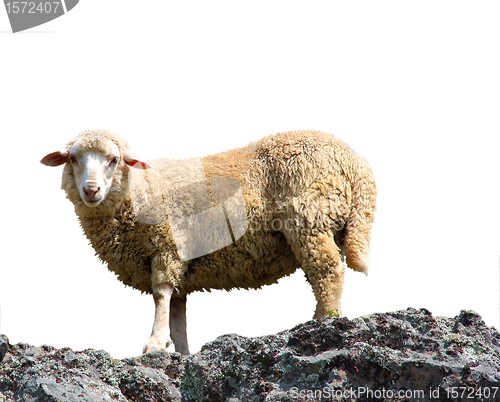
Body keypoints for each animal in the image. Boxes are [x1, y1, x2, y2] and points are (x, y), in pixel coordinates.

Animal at [41, 129, 376, 354]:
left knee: (328, 272)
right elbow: (178, 312)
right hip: (332, 223)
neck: (139, 191)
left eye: (114, 160)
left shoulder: (167, 246)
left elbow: (161, 295)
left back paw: (322, 323)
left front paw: (155, 342)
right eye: (73, 159)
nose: (91, 190)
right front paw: (182, 351)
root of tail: (357, 165)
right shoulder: (179, 261)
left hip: (309, 218)